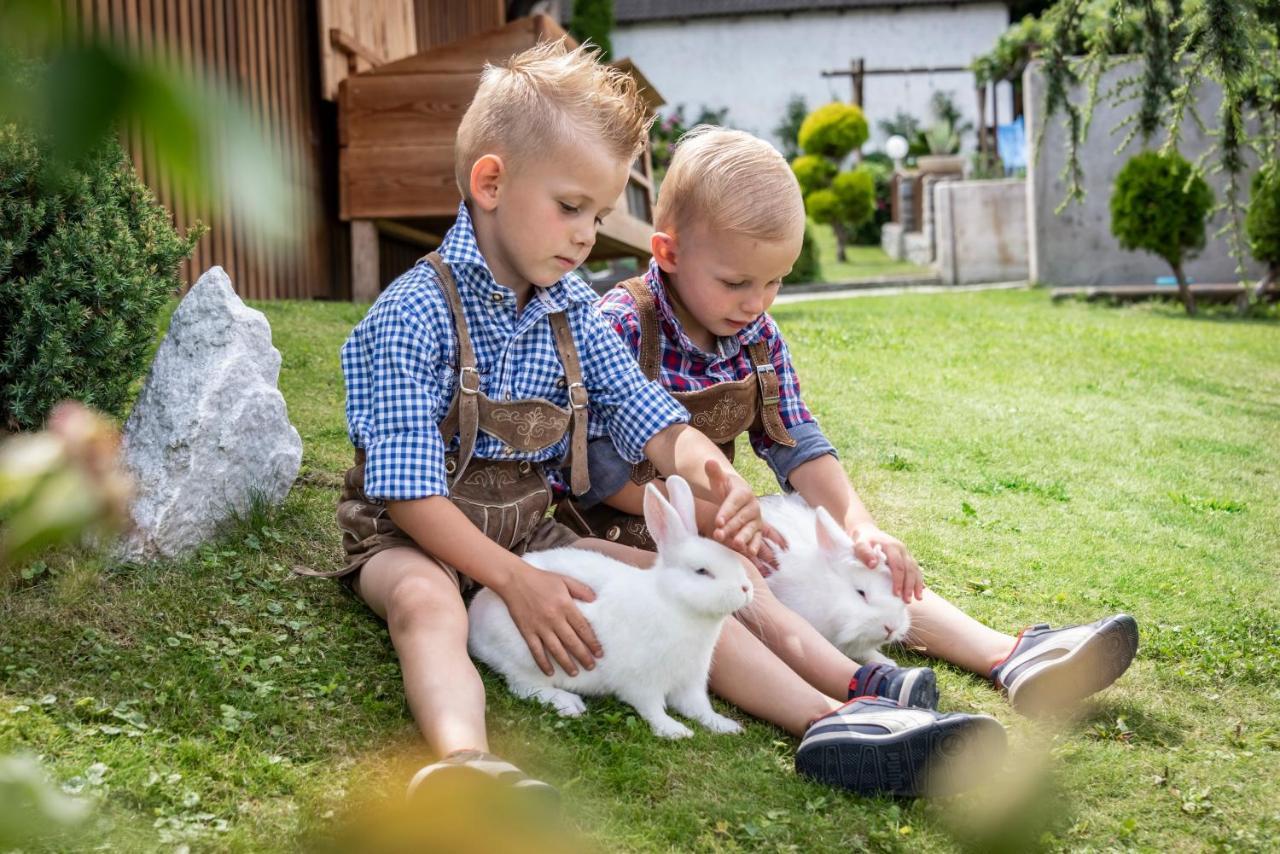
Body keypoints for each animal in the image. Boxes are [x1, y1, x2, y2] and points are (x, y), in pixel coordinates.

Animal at [468, 478, 747, 737]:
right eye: (702, 571)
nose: (746, 588)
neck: (674, 604)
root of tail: (475, 622)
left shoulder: (691, 682)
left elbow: (699, 708)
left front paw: (726, 725)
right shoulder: (643, 682)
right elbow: (652, 709)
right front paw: (675, 730)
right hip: (531, 659)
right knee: (522, 686)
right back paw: (568, 703)